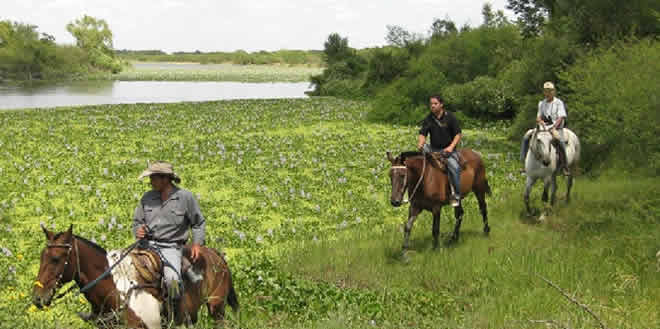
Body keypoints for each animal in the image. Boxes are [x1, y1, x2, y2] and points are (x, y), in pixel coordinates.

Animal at [32, 224, 240, 328]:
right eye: (41, 257)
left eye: (56, 259)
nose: (37, 299)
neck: (115, 289)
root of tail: (215, 254)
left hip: (217, 308)